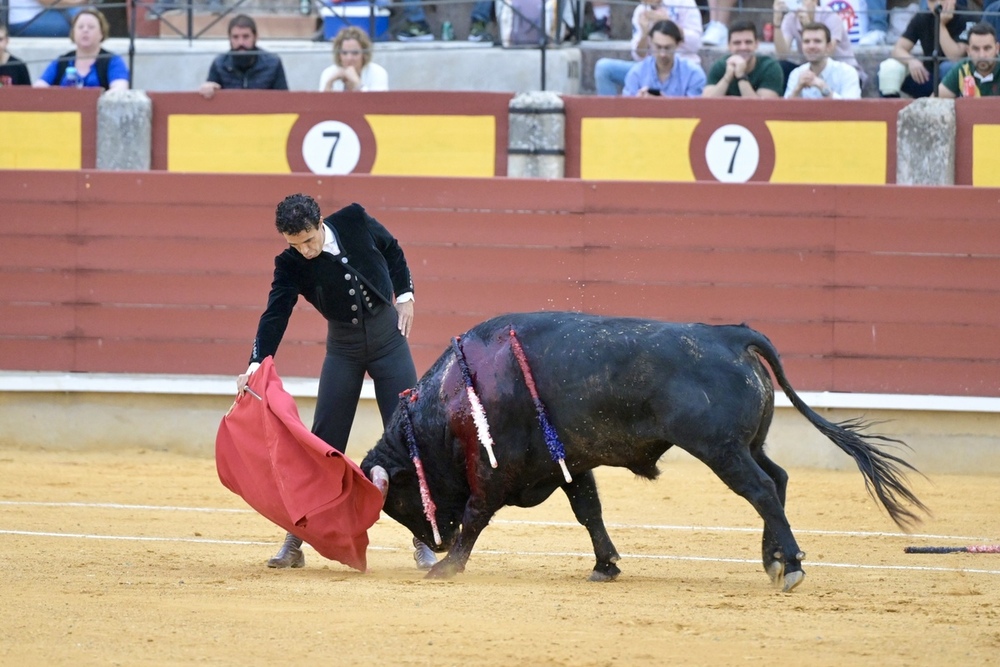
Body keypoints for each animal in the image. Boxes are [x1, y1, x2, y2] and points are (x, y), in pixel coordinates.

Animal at [362, 312, 928, 588]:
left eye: (398, 501)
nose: (432, 545)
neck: (455, 398)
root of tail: (731, 337)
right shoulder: (568, 463)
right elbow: (588, 510)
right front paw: (606, 565)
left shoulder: (494, 470)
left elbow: (477, 515)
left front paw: (448, 568)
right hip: (746, 443)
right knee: (779, 479)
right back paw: (772, 558)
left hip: (720, 449)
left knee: (763, 488)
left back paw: (788, 564)